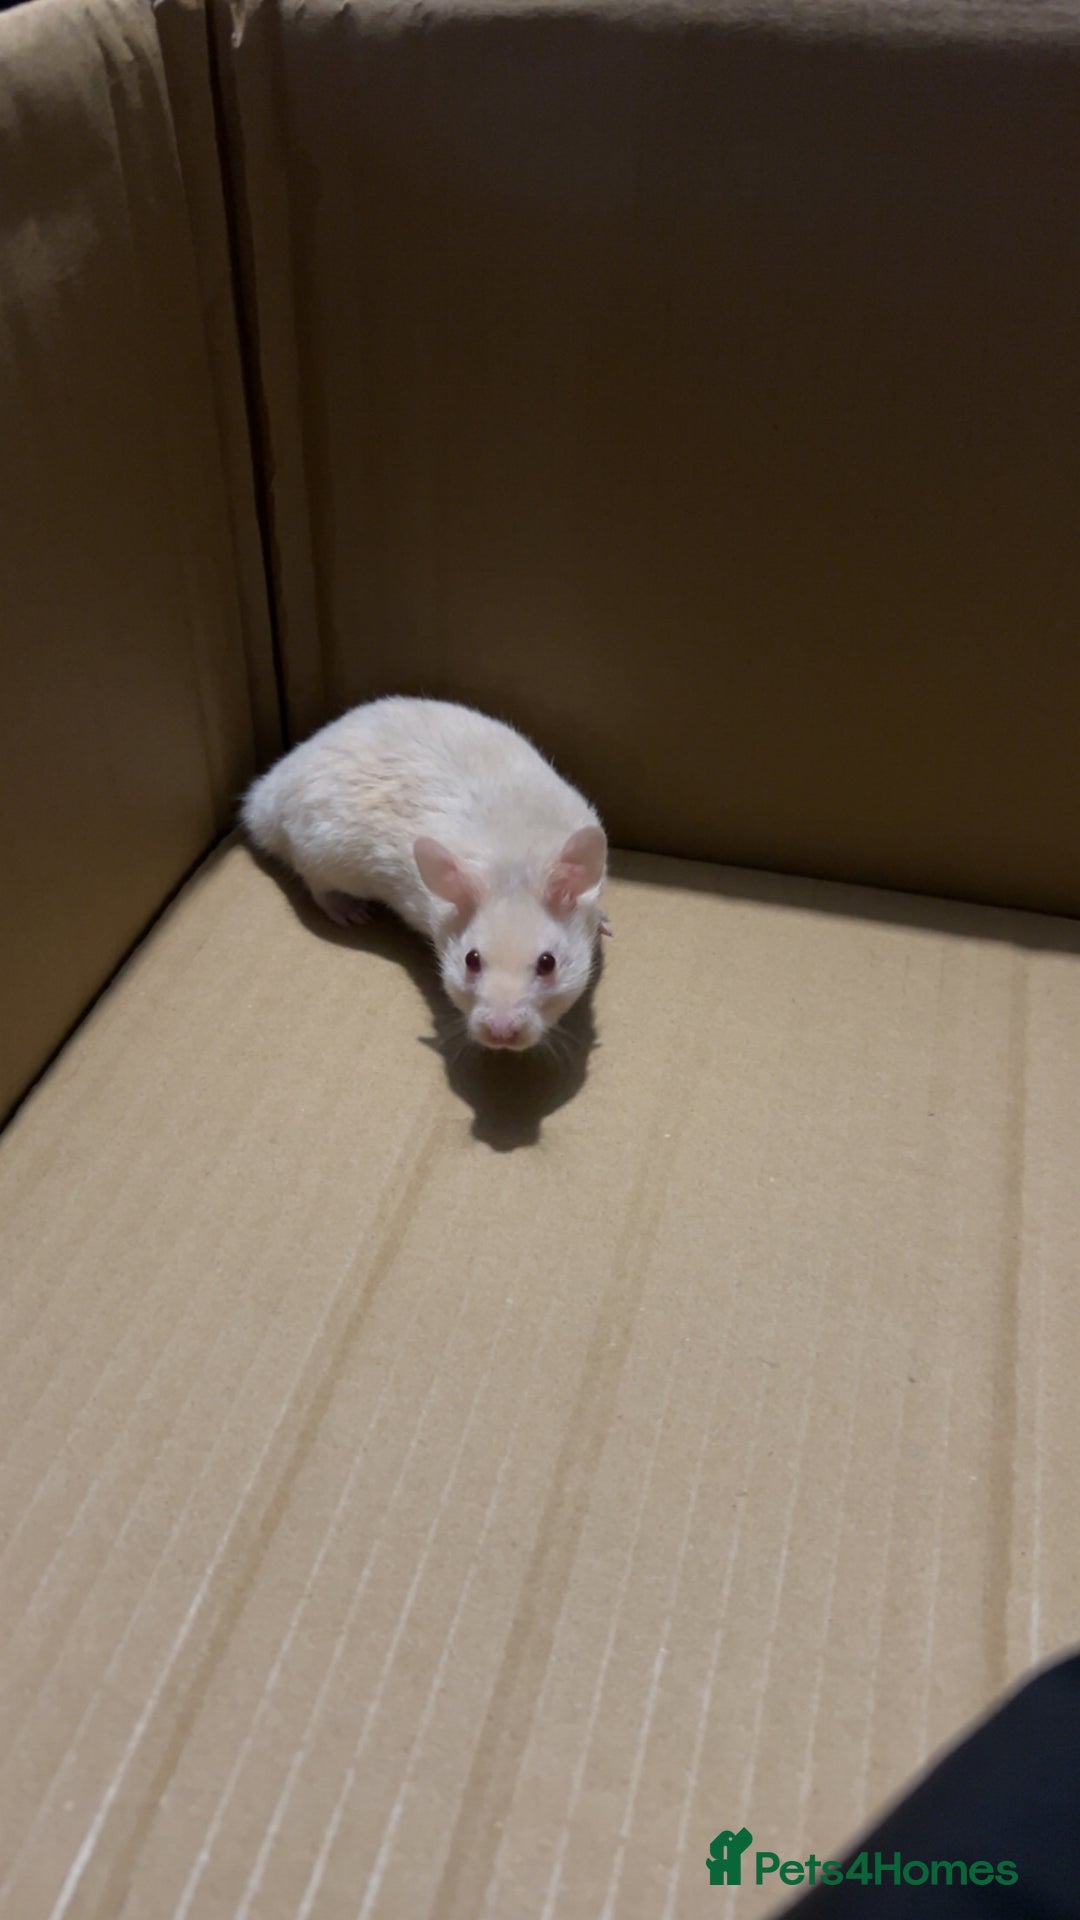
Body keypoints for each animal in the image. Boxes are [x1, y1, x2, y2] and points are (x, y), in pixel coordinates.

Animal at [241, 696, 610, 1051]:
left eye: (548, 963)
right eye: (471, 960)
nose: (500, 1034)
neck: (511, 863)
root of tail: (265, 794)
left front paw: (605, 925)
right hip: (320, 855)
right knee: (316, 887)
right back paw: (351, 913)